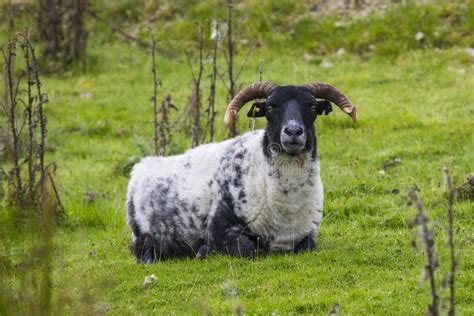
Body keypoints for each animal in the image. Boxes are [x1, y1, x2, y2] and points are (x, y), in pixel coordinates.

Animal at [126, 81, 356, 262]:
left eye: (313, 107)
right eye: (270, 108)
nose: (293, 131)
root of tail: (142, 165)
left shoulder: (307, 236)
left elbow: (306, 246)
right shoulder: (220, 231)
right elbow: (250, 250)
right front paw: (203, 251)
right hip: (144, 235)